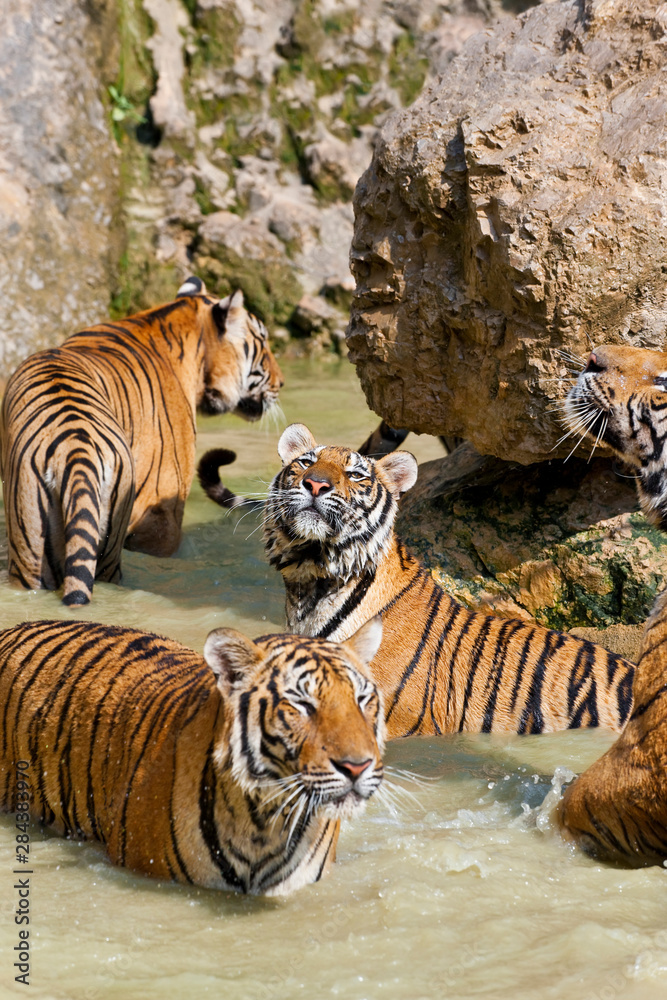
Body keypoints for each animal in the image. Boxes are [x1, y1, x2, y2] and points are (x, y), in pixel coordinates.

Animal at [0, 277, 283, 605]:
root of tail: (76, 450)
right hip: (107, 553)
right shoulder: (162, 516)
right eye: (262, 341)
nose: (281, 382)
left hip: (30, 550)